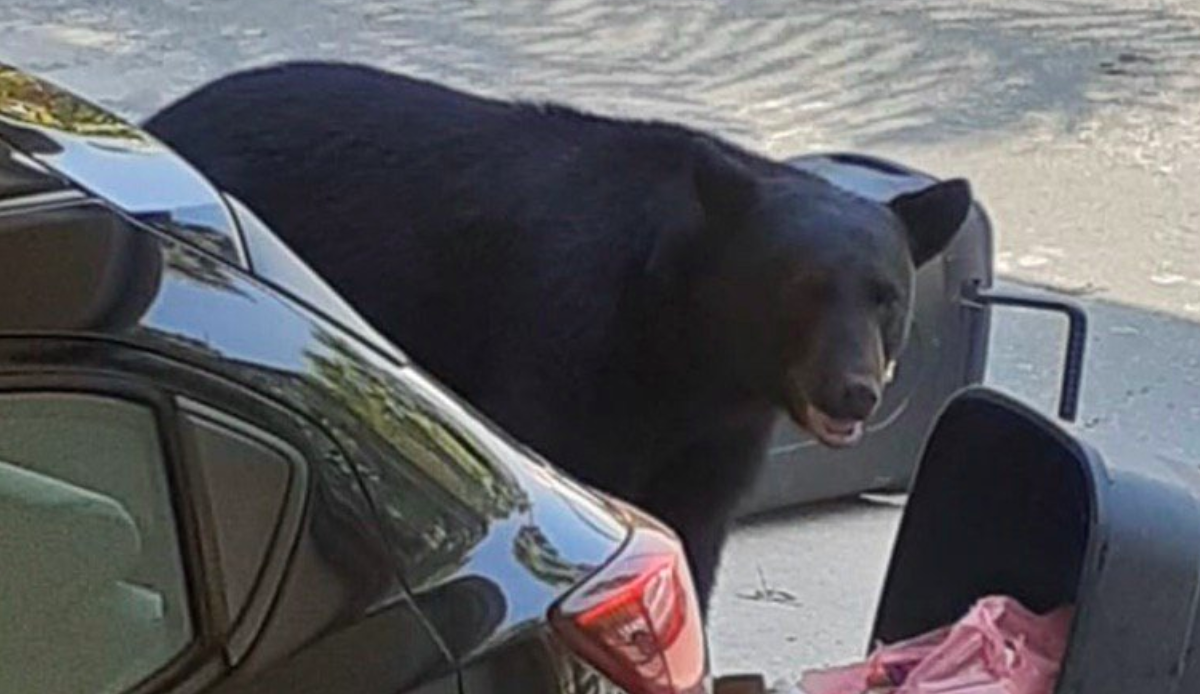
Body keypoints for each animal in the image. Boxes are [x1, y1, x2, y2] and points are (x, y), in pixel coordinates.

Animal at [145, 62, 971, 615]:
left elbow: (696, 530)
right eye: (800, 289)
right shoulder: (562, 337)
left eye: (887, 297)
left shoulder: (718, 436)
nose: (854, 390)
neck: (688, 343)